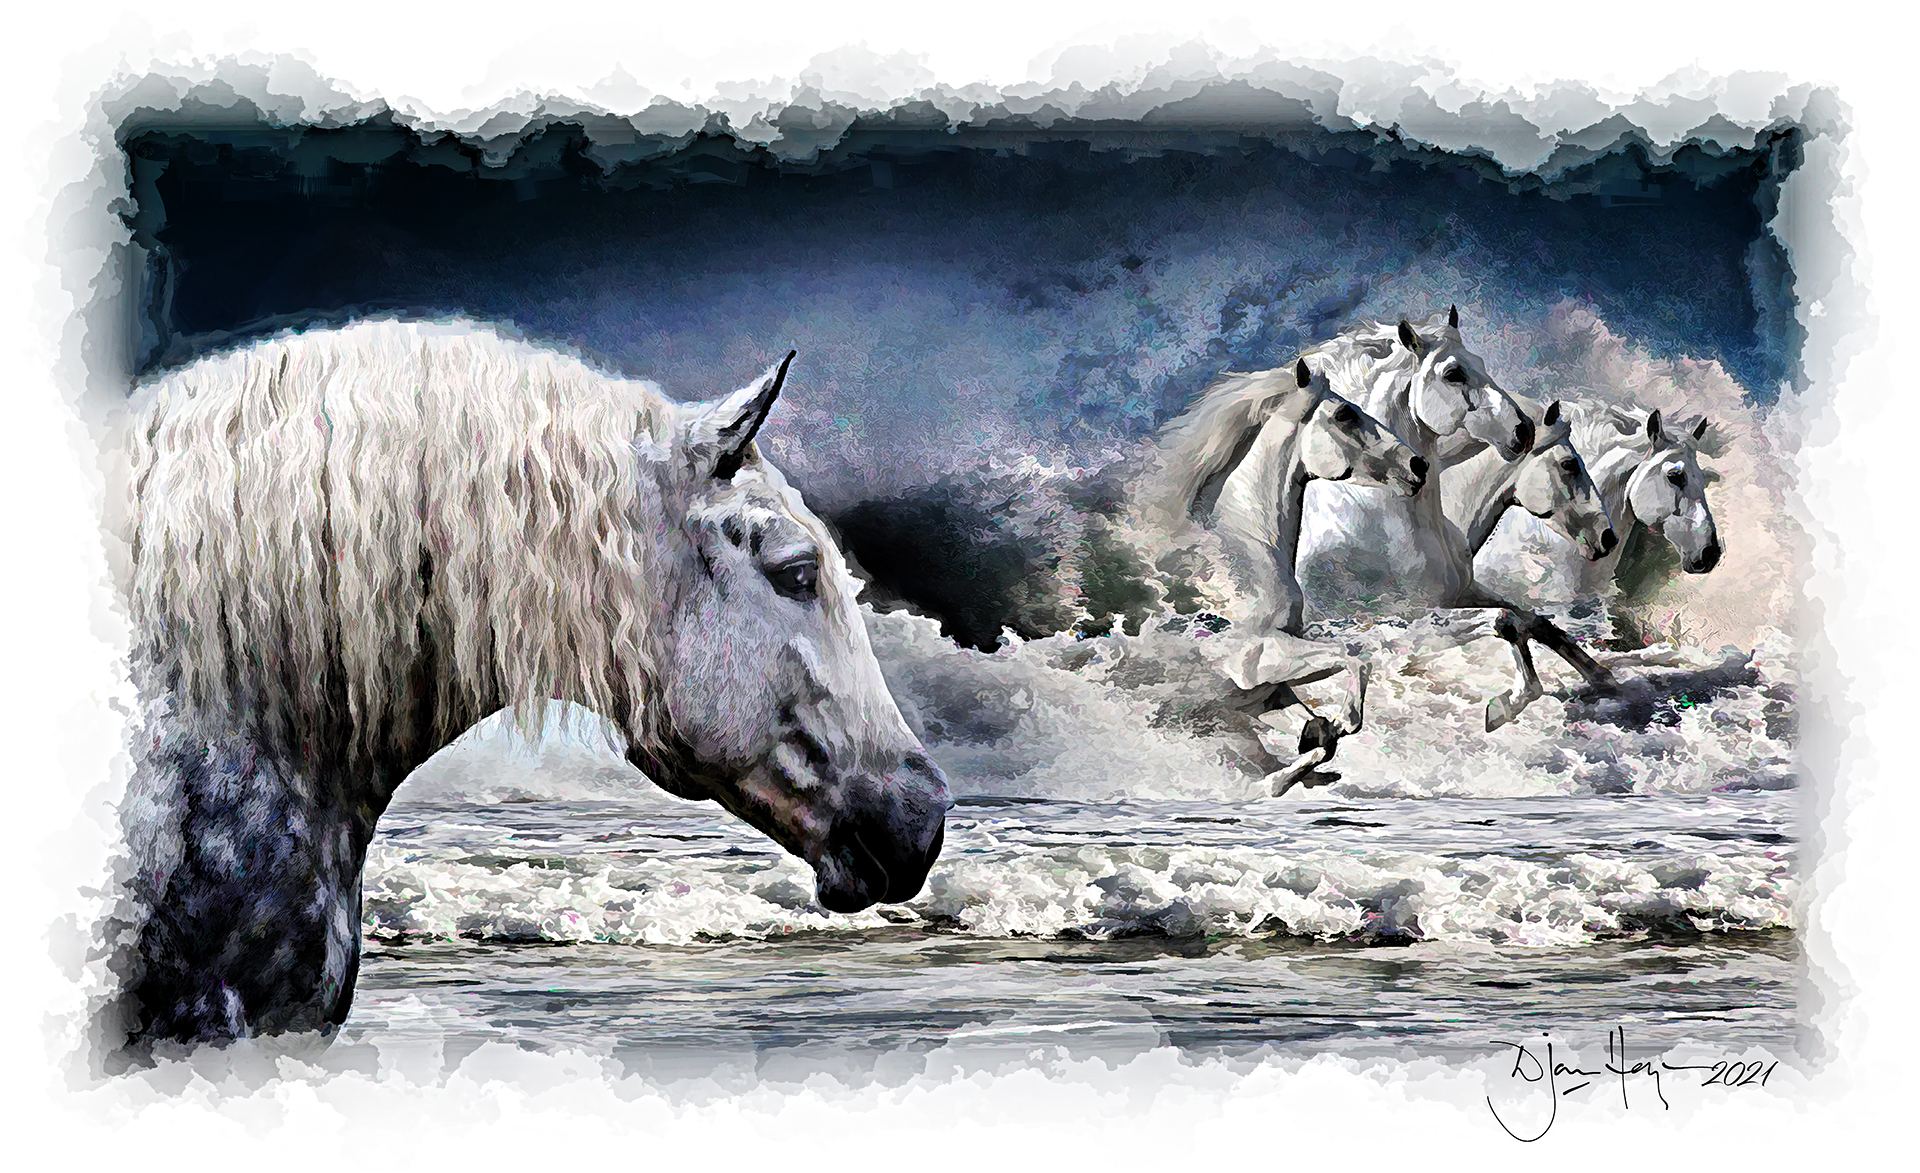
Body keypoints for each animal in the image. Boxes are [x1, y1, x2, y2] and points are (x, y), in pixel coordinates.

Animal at [1142, 358, 1427, 794]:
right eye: (1345, 415)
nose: (1418, 465)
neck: (1248, 550)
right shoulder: (1258, 661)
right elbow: (1353, 657)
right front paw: (1344, 722)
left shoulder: (1262, 695)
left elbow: (1320, 740)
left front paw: (1303, 761)